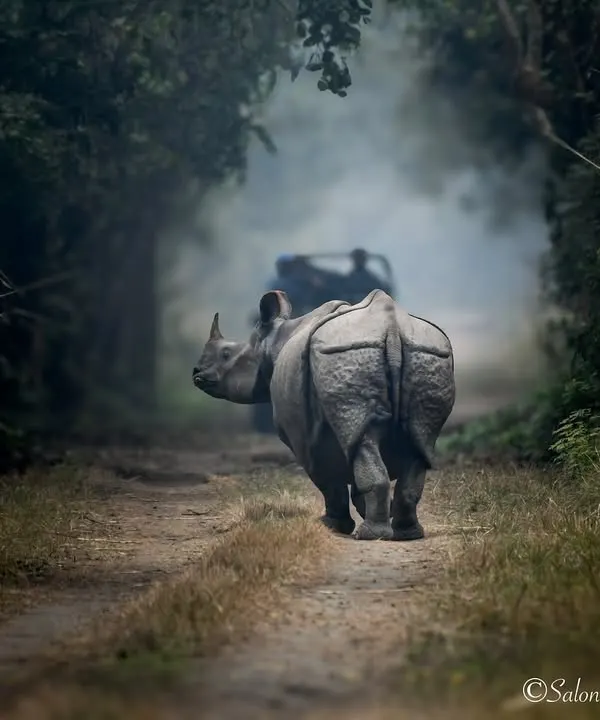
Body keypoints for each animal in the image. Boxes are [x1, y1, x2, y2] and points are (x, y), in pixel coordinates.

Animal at [192, 289, 455, 541]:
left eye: (226, 354)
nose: (197, 373)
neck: (272, 342)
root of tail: (391, 328)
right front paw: (367, 511)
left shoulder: (304, 437)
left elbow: (327, 477)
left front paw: (331, 526)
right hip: (425, 354)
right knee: (418, 442)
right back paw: (406, 534)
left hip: (345, 354)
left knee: (365, 444)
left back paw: (370, 535)